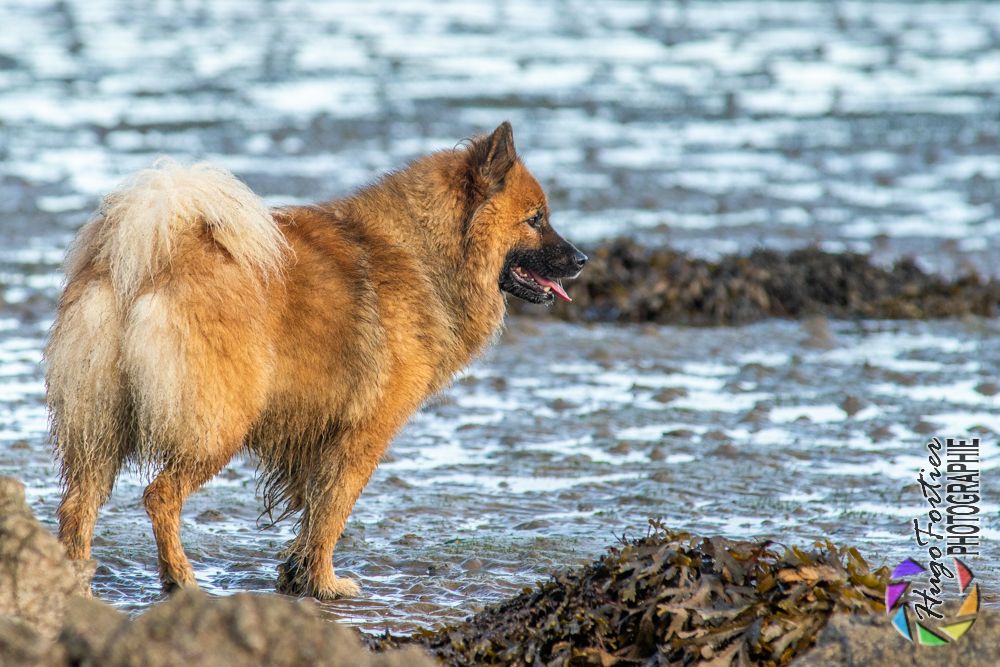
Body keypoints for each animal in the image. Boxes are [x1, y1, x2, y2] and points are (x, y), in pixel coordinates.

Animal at [45, 121, 584, 600]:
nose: (581, 260)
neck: (428, 252)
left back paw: (75, 583)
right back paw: (181, 579)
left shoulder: (318, 436)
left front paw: (296, 576)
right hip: (217, 426)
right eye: (536, 218)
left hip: (99, 430)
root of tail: (142, 263)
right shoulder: (363, 434)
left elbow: (311, 518)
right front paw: (324, 584)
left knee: (76, 507)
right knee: (159, 496)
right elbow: (331, 513)